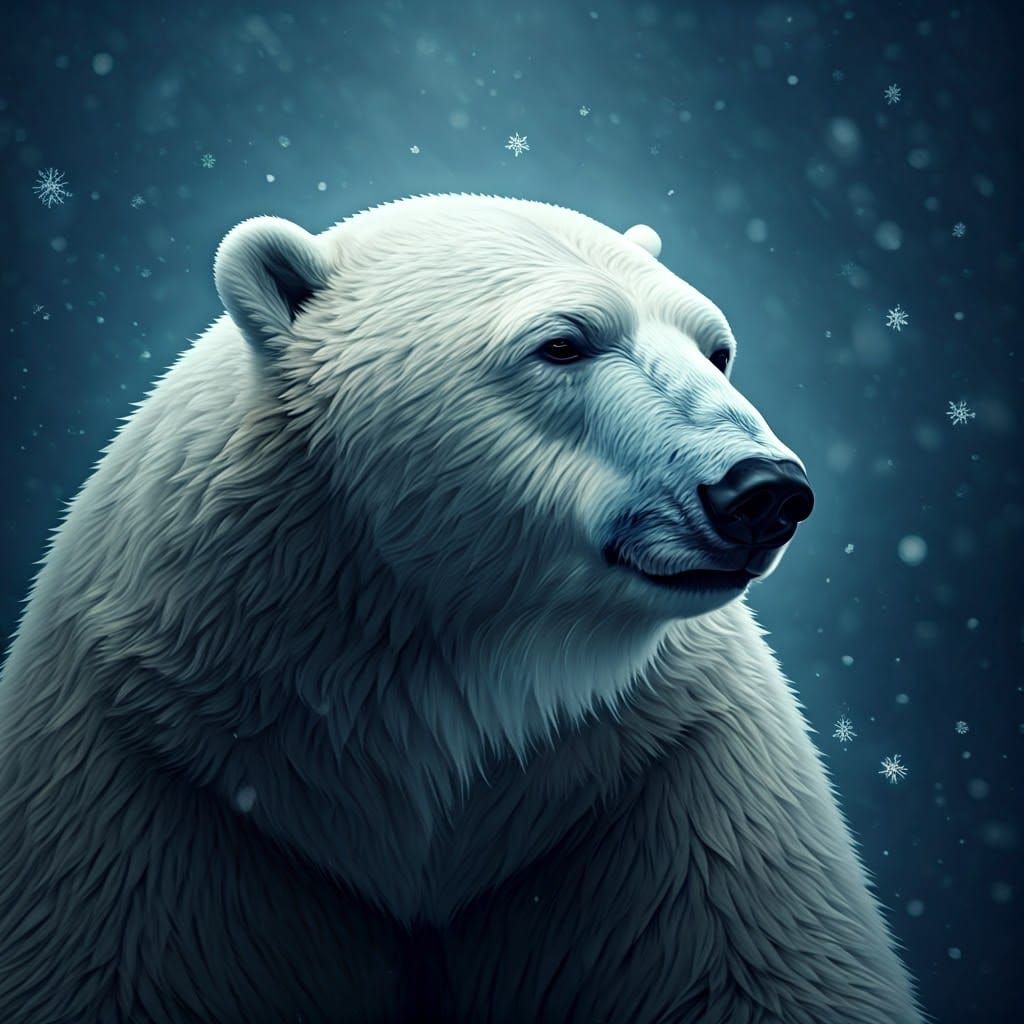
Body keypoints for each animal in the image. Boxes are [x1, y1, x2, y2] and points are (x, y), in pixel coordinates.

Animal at [0, 194, 923, 1023]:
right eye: (564, 343)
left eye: (718, 349)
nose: (762, 490)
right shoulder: (160, 764)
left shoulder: (656, 772)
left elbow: (768, 966)